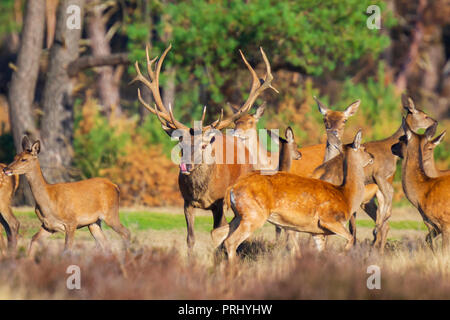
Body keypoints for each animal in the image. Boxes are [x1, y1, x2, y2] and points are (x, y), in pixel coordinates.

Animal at [132, 44, 276, 252]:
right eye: (180, 142)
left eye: (203, 144)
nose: (186, 166)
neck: (202, 193)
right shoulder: (186, 202)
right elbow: (190, 238)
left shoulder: (219, 203)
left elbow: (217, 234)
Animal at [213, 130, 374, 262]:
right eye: (364, 148)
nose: (372, 156)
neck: (347, 196)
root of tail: (232, 188)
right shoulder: (329, 219)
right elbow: (351, 239)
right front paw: (341, 256)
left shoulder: (316, 232)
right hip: (253, 215)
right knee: (230, 241)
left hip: (240, 215)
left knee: (217, 233)